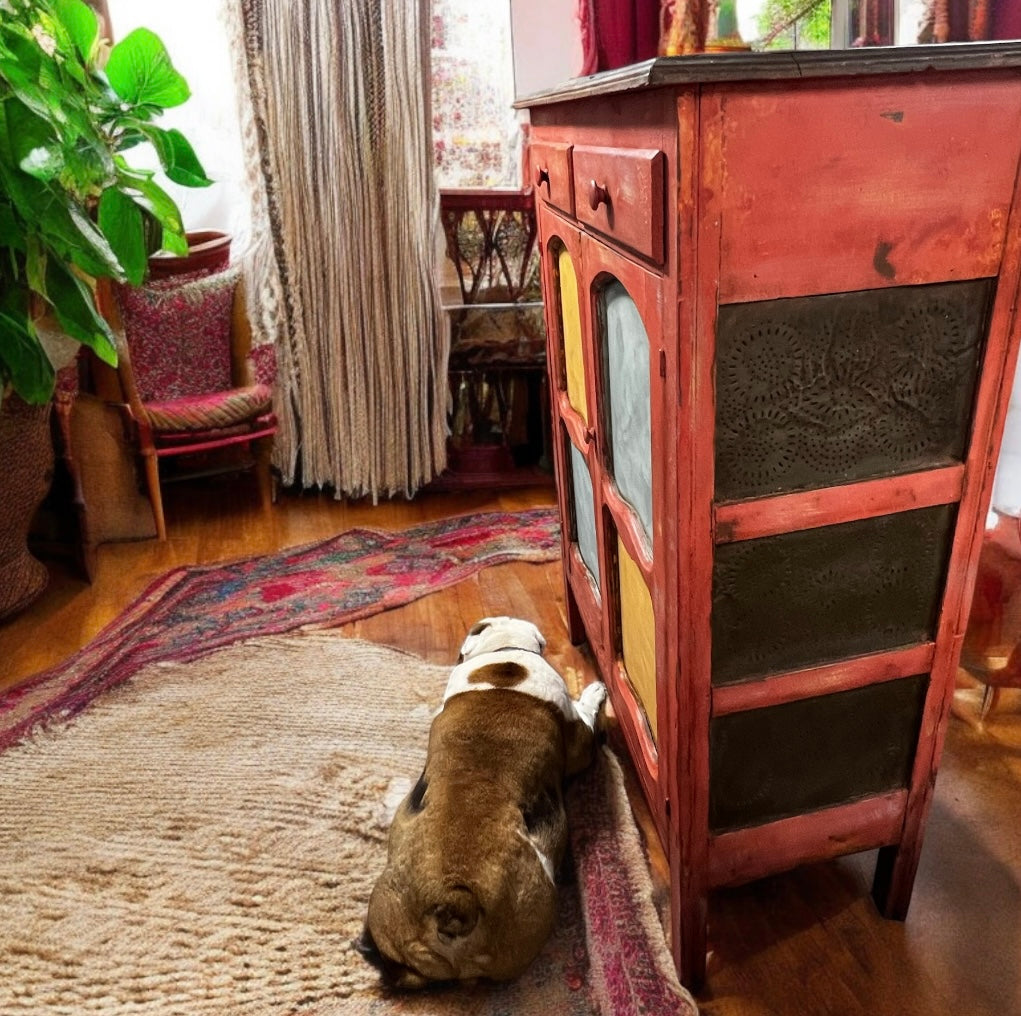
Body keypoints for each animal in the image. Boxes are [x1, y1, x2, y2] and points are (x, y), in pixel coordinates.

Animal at [359, 616, 604, 988]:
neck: (503, 656)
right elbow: (584, 714)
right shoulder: (579, 740)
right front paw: (595, 692)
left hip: (387, 910)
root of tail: (455, 900)